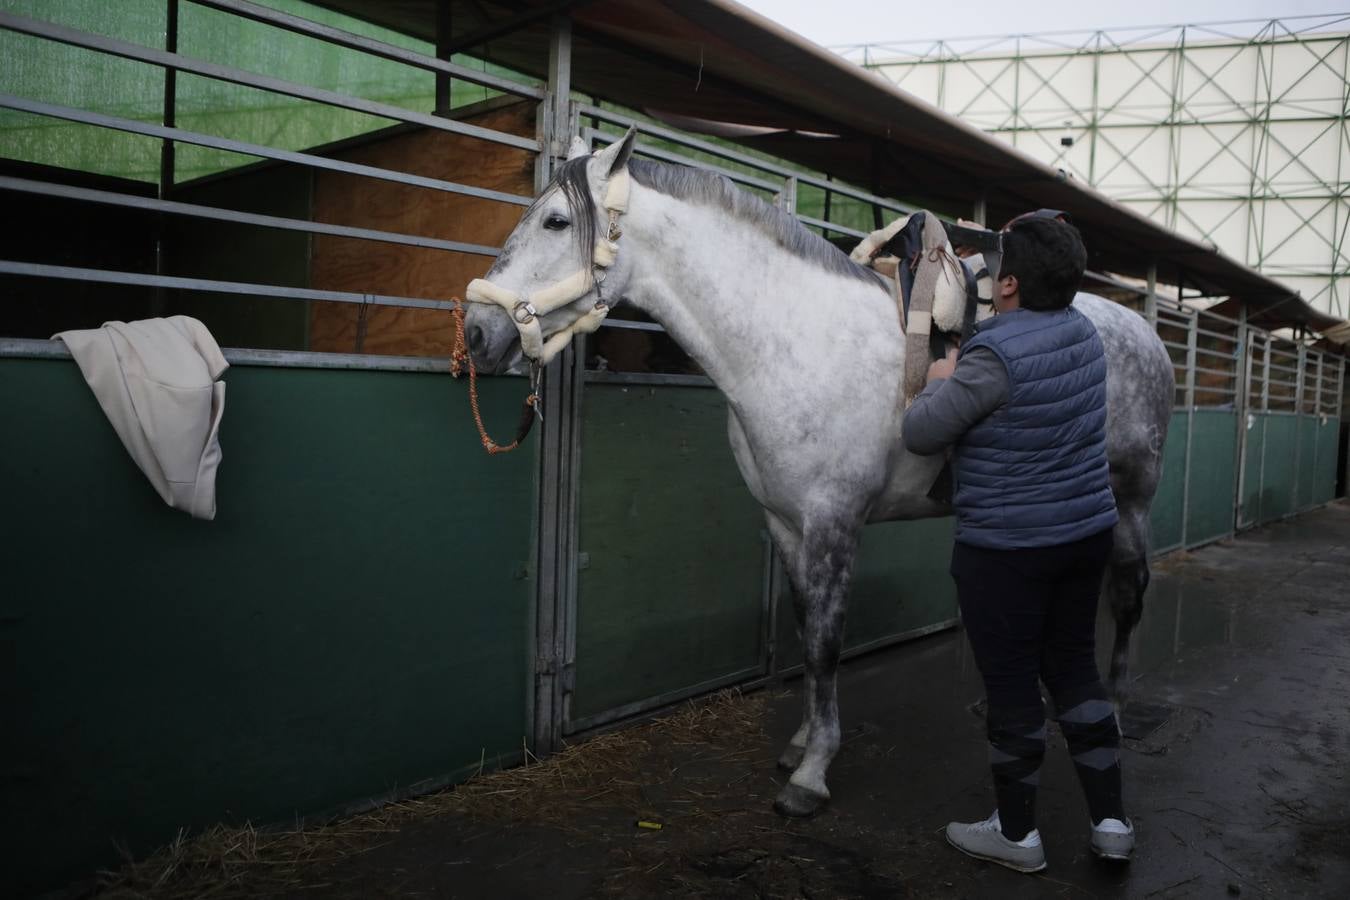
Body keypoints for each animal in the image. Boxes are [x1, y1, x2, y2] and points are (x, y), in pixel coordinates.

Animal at [464, 130, 1174, 818]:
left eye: (556, 221)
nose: (475, 332)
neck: (792, 341)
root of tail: (1144, 331)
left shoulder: (835, 523)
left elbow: (829, 641)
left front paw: (813, 772)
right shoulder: (786, 522)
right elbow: (807, 631)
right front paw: (804, 740)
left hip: (1134, 494)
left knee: (1131, 591)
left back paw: (1113, 705)